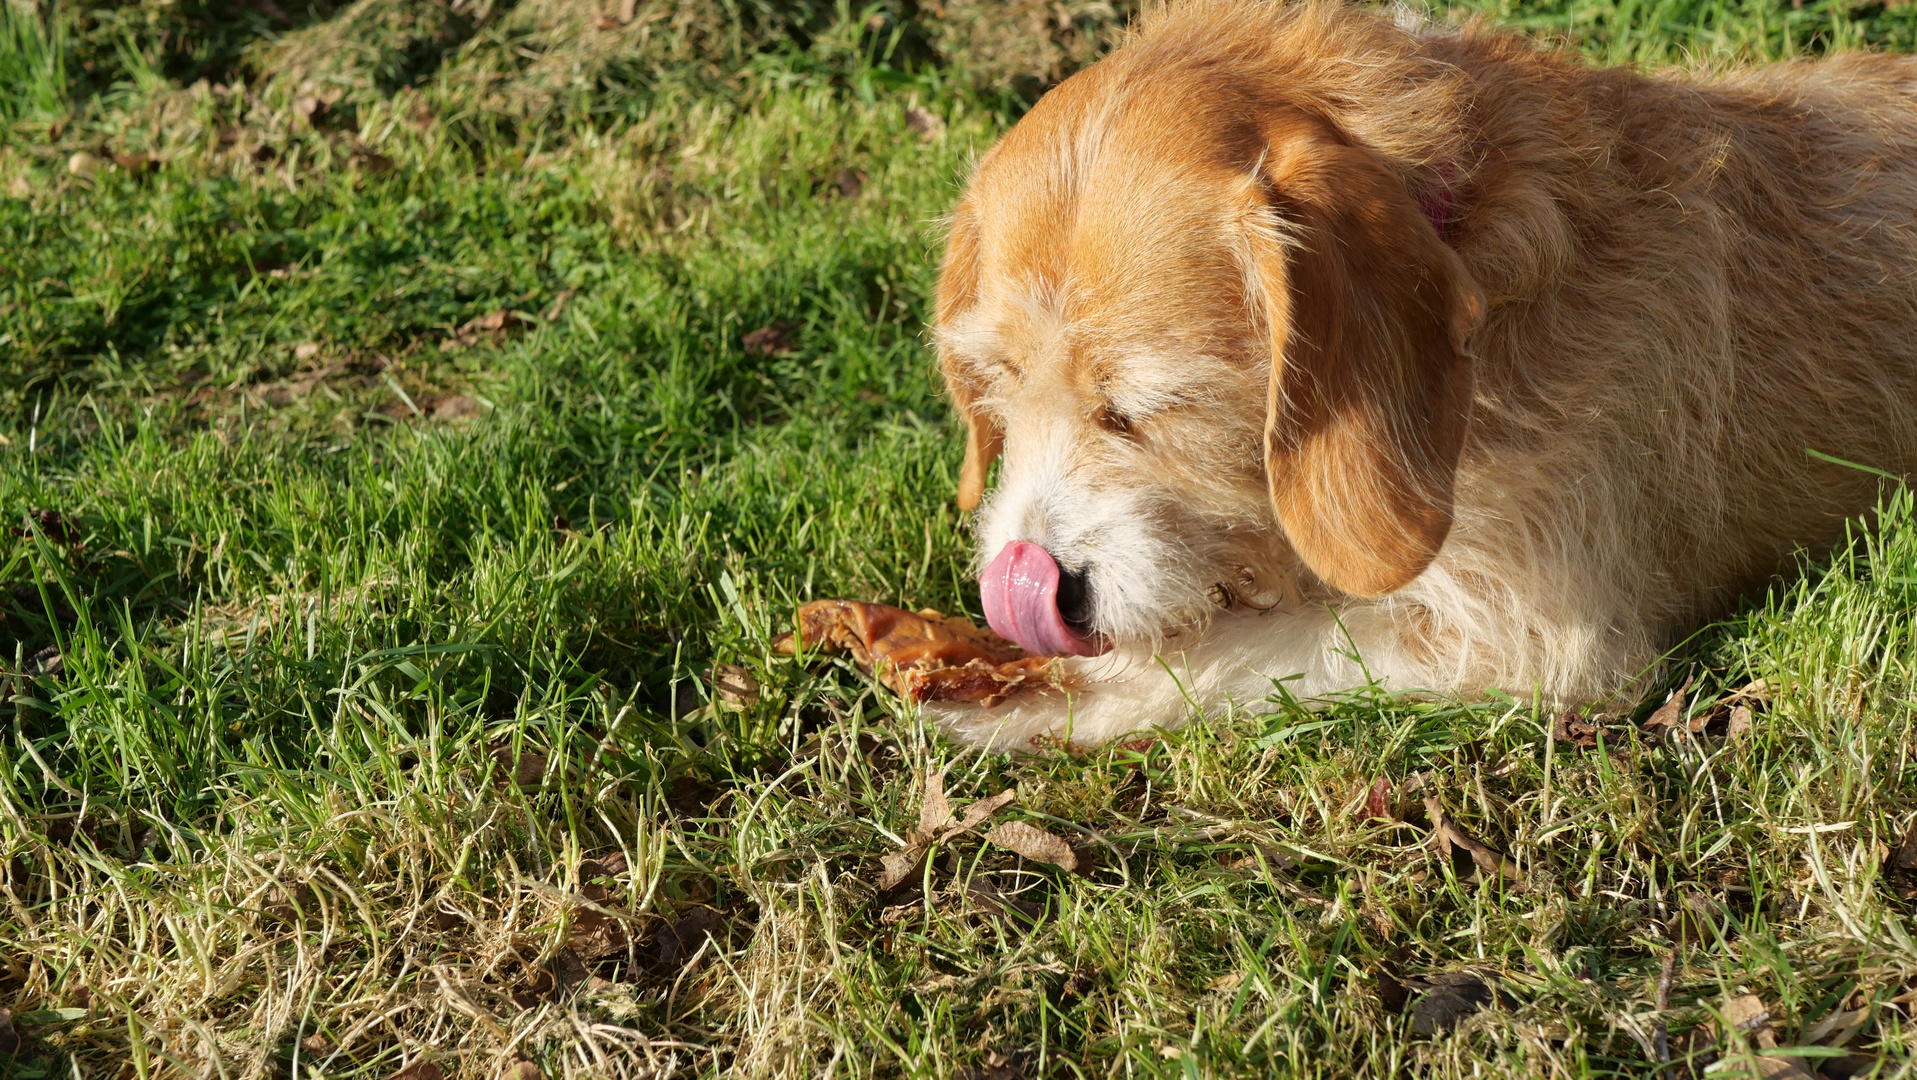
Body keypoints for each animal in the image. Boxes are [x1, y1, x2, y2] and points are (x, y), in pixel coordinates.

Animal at [927, 0, 1917, 748]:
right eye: (996, 382)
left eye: (1146, 407)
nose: (1035, 584)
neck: (1472, 232)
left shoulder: (1542, 639)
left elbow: (1240, 652)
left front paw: (1031, 697)